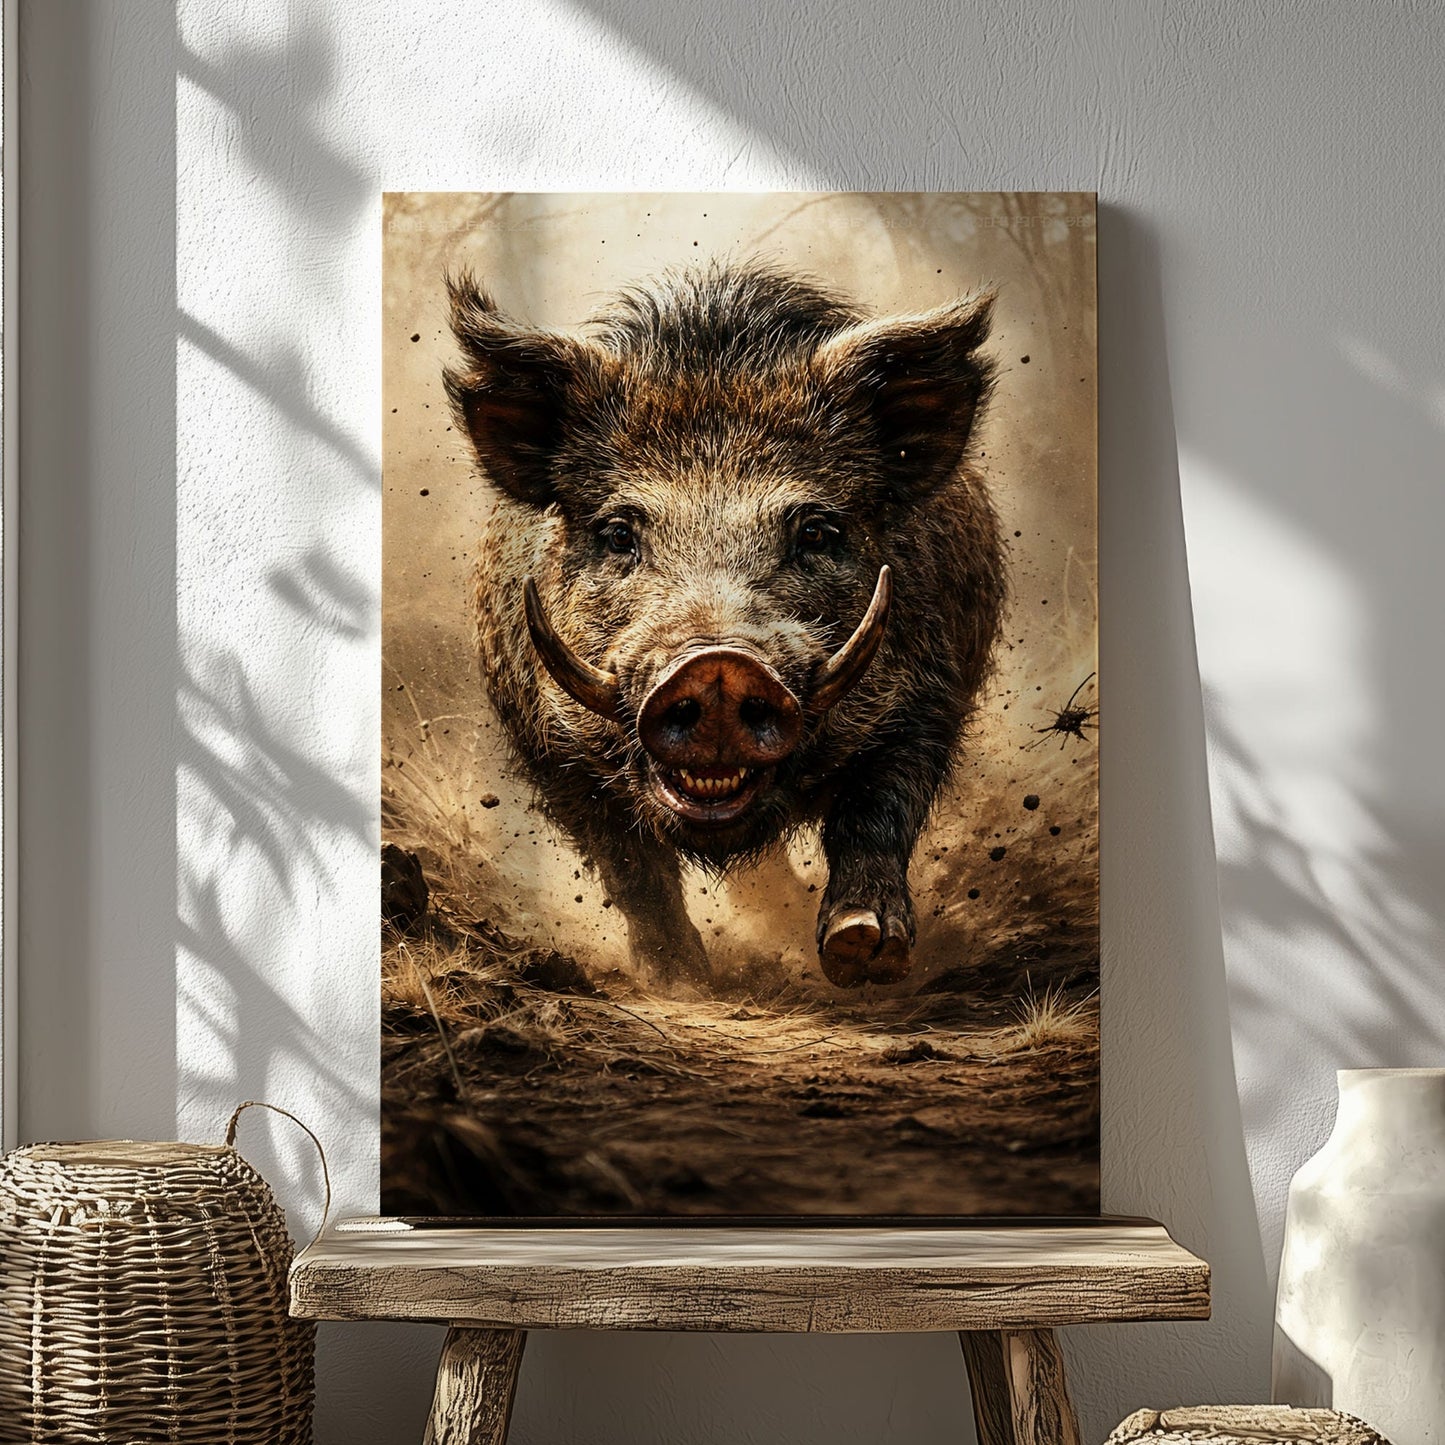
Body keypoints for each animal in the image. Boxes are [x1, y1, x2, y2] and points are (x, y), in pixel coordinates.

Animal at [445, 259, 1006, 989]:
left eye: (815, 531)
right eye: (619, 533)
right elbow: (633, 869)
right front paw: (678, 983)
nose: (717, 666)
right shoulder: (548, 752)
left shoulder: (931, 700)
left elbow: (875, 812)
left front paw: (864, 950)